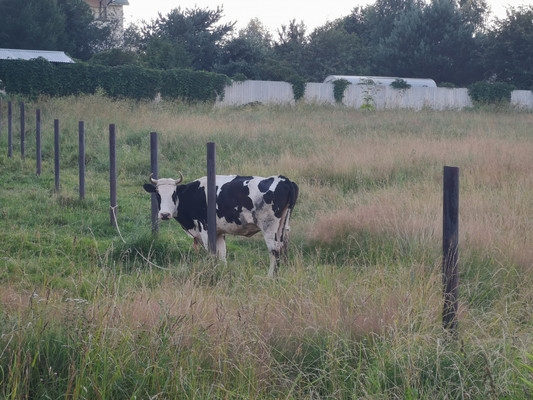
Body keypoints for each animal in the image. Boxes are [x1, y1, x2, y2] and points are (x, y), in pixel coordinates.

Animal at [143, 173, 298, 276]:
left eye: (174, 194)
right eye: (158, 194)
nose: (164, 214)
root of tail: (283, 179)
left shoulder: (205, 229)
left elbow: (212, 253)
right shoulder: (219, 232)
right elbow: (222, 255)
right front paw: (222, 271)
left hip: (269, 227)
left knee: (274, 251)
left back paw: (270, 277)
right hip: (282, 227)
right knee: (282, 248)